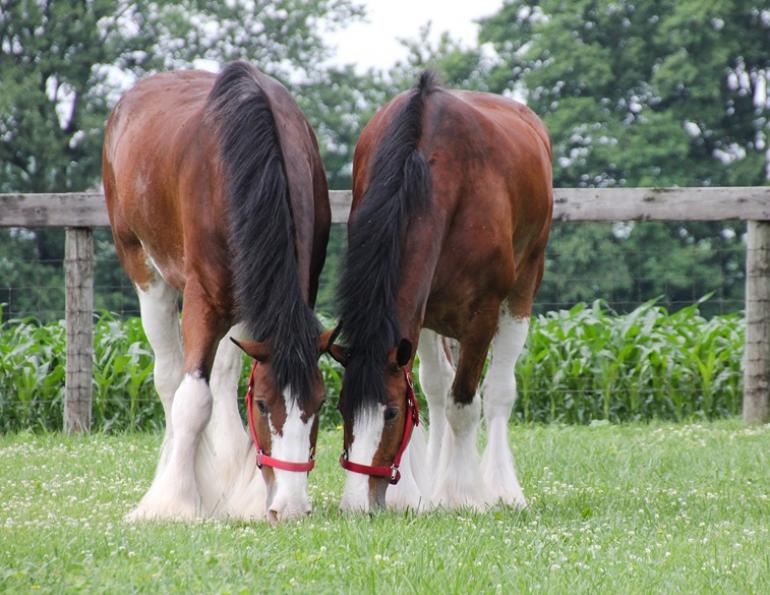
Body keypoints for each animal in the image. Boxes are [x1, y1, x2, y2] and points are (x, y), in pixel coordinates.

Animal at [102, 62, 331, 523]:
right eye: (263, 406)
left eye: (319, 404)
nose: (290, 507)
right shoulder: (202, 299)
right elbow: (193, 399)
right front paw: (171, 503)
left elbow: (227, 379)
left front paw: (246, 494)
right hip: (144, 272)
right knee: (170, 378)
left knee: (223, 377)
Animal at [328, 72, 552, 512]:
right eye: (344, 408)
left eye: (390, 414)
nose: (359, 504)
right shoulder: (422, 310)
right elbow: (430, 392)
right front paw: (418, 492)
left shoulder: (483, 312)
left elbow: (463, 403)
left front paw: (462, 493)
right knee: (436, 386)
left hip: (522, 289)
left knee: (497, 392)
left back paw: (501, 487)